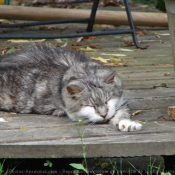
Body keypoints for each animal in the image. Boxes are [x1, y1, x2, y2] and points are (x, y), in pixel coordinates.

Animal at [0, 43, 142, 131]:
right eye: (89, 106)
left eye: (107, 101)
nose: (103, 115)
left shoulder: (122, 102)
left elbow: (122, 112)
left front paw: (127, 123)